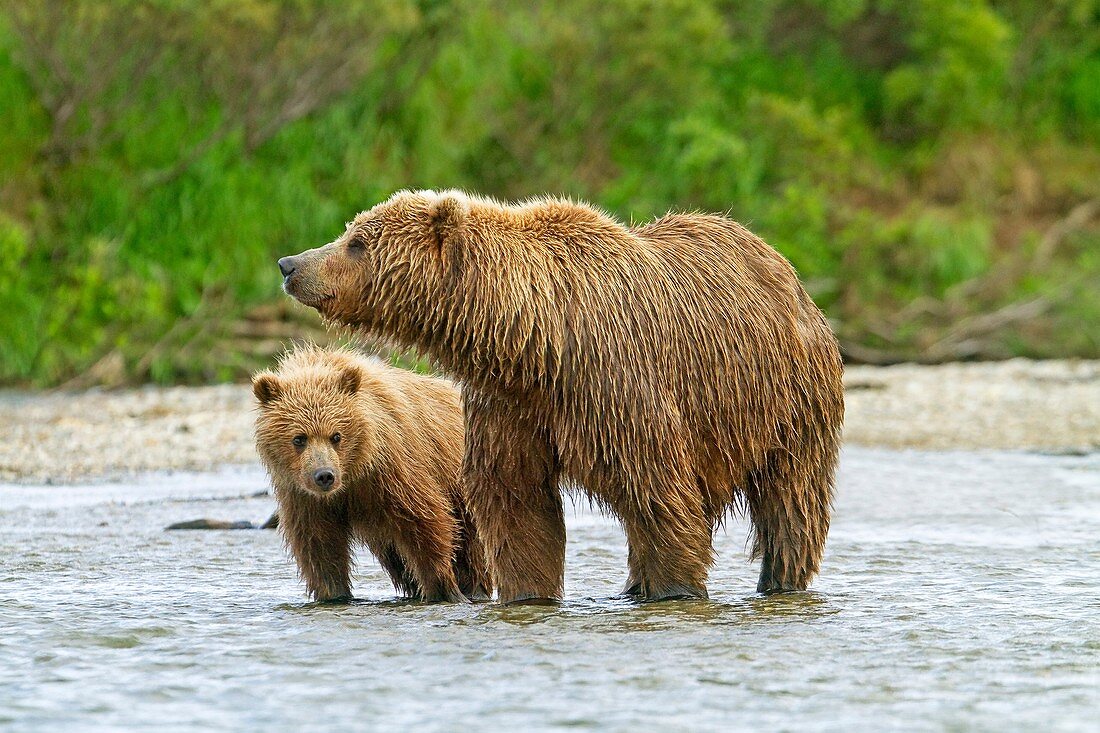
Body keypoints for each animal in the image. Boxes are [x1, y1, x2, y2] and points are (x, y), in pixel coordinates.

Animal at [275, 188, 840, 598]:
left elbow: (658, 492)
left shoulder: (618, 384)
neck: (531, 341)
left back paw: (780, 579)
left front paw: (677, 587)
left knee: (791, 497)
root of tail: (781, 265)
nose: (290, 264)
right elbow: (516, 504)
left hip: (784, 396)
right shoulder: (509, 406)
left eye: (358, 241)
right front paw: (529, 592)